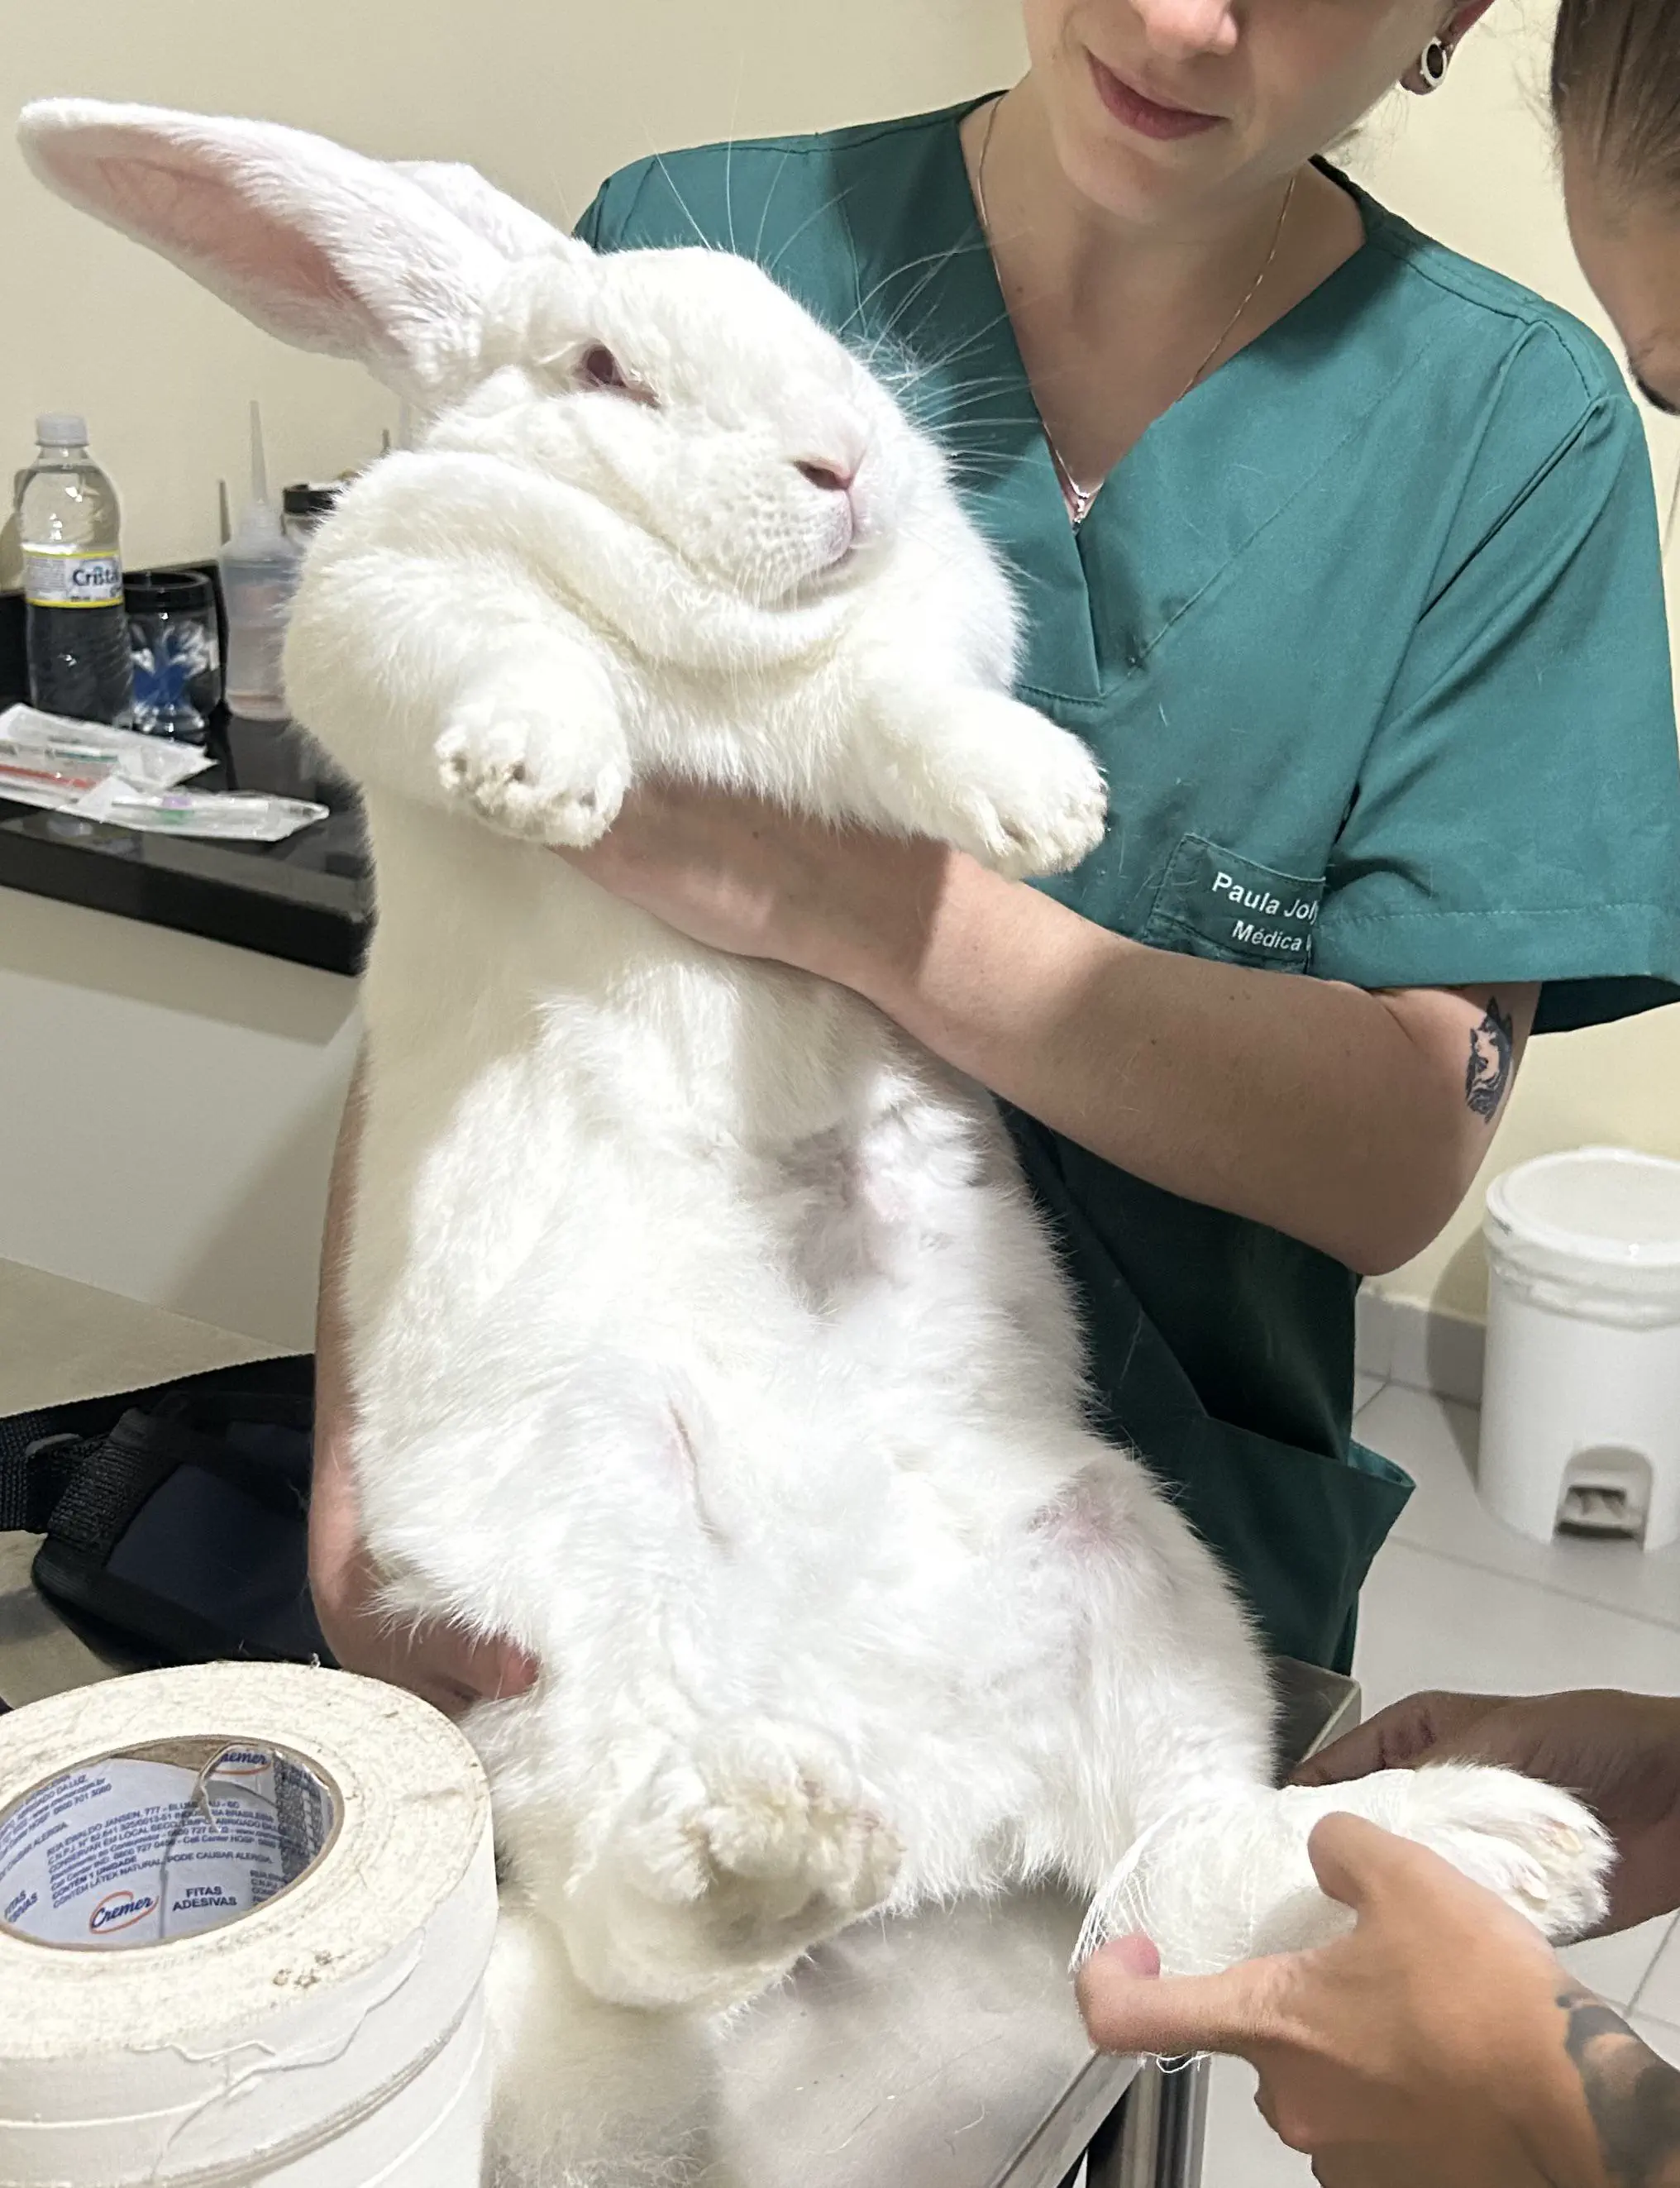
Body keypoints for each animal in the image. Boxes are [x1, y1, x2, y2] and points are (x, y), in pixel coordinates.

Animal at [20, 99, 1615, 2187]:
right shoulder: (406, 607)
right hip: (577, 1615)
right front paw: (539, 773)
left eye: (801, 324)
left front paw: (1034, 800)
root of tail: (917, 1791)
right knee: (629, 1925)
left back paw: (1502, 1839)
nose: (846, 465)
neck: (711, 636)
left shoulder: (901, 646)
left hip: (1133, 1565)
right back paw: (768, 1851)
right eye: (604, 367)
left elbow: (890, 708)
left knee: (1178, 1860)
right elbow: (520, 655)